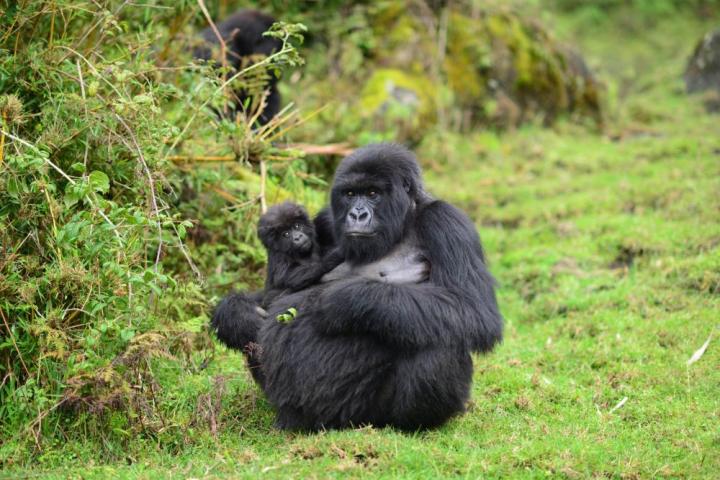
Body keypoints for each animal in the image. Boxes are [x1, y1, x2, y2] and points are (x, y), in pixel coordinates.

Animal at [211, 143, 504, 432]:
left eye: (373, 193)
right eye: (350, 194)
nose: (357, 214)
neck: (403, 222)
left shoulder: (446, 222)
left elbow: (472, 309)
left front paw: (343, 300)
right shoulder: (324, 220)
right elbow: (274, 292)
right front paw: (236, 315)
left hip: (368, 414)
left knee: (442, 337)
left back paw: (415, 425)